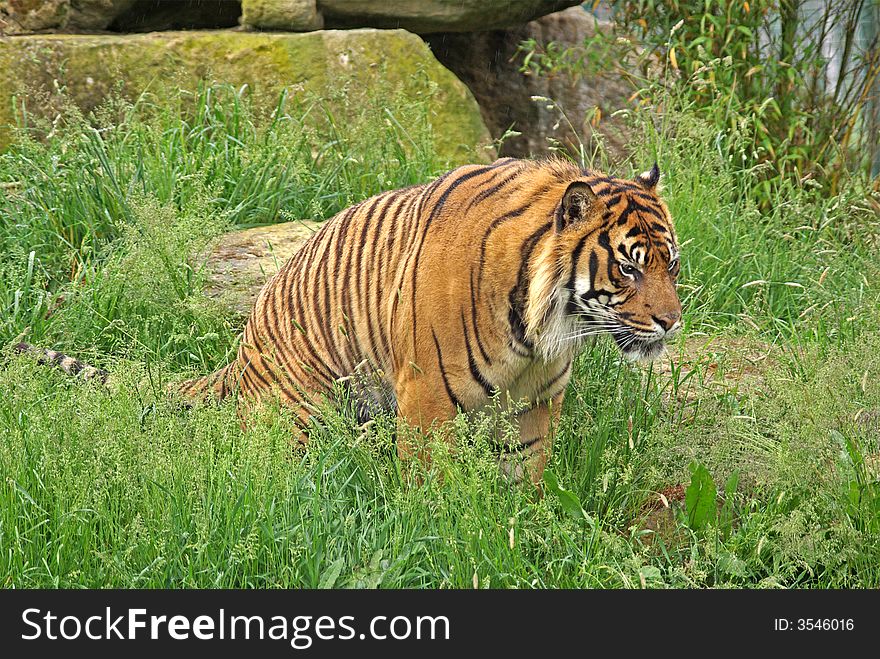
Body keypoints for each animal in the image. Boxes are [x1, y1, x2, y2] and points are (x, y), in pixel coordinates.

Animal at [17, 156, 684, 484]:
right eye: (629, 268)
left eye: (671, 264)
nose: (672, 323)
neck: (545, 321)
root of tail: (240, 355)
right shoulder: (428, 396)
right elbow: (430, 484)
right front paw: (440, 531)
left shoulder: (534, 400)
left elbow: (526, 473)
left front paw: (520, 530)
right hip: (306, 415)